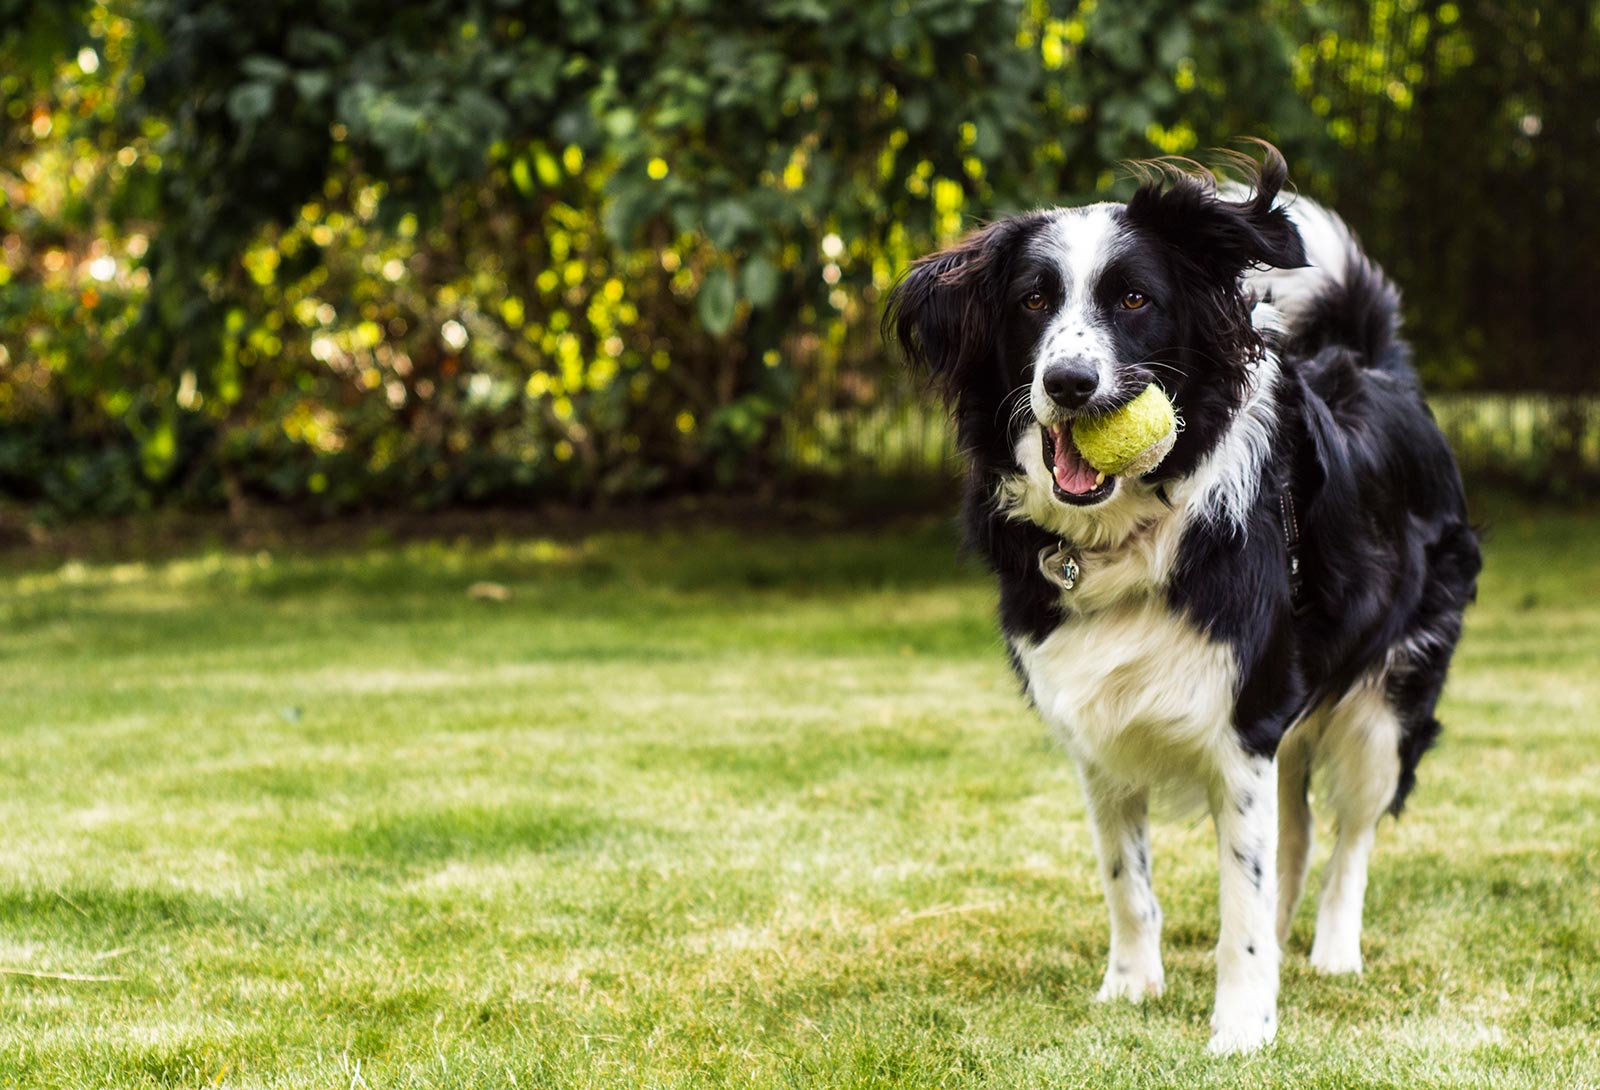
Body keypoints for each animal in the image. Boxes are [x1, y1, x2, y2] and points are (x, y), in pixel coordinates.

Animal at [883, 148, 1478, 1049]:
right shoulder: (1099, 725)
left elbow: (1243, 894)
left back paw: (1333, 950)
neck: (1130, 531)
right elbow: (1127, 879)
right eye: (1032, 301)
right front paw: (1132, 987)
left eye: (1135, 299)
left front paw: (1241, 1028)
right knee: (1299, 828)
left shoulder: (1244, 723)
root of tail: (1369, 363)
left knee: (1352, 834)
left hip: (1387, 702)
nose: (1069, 381)